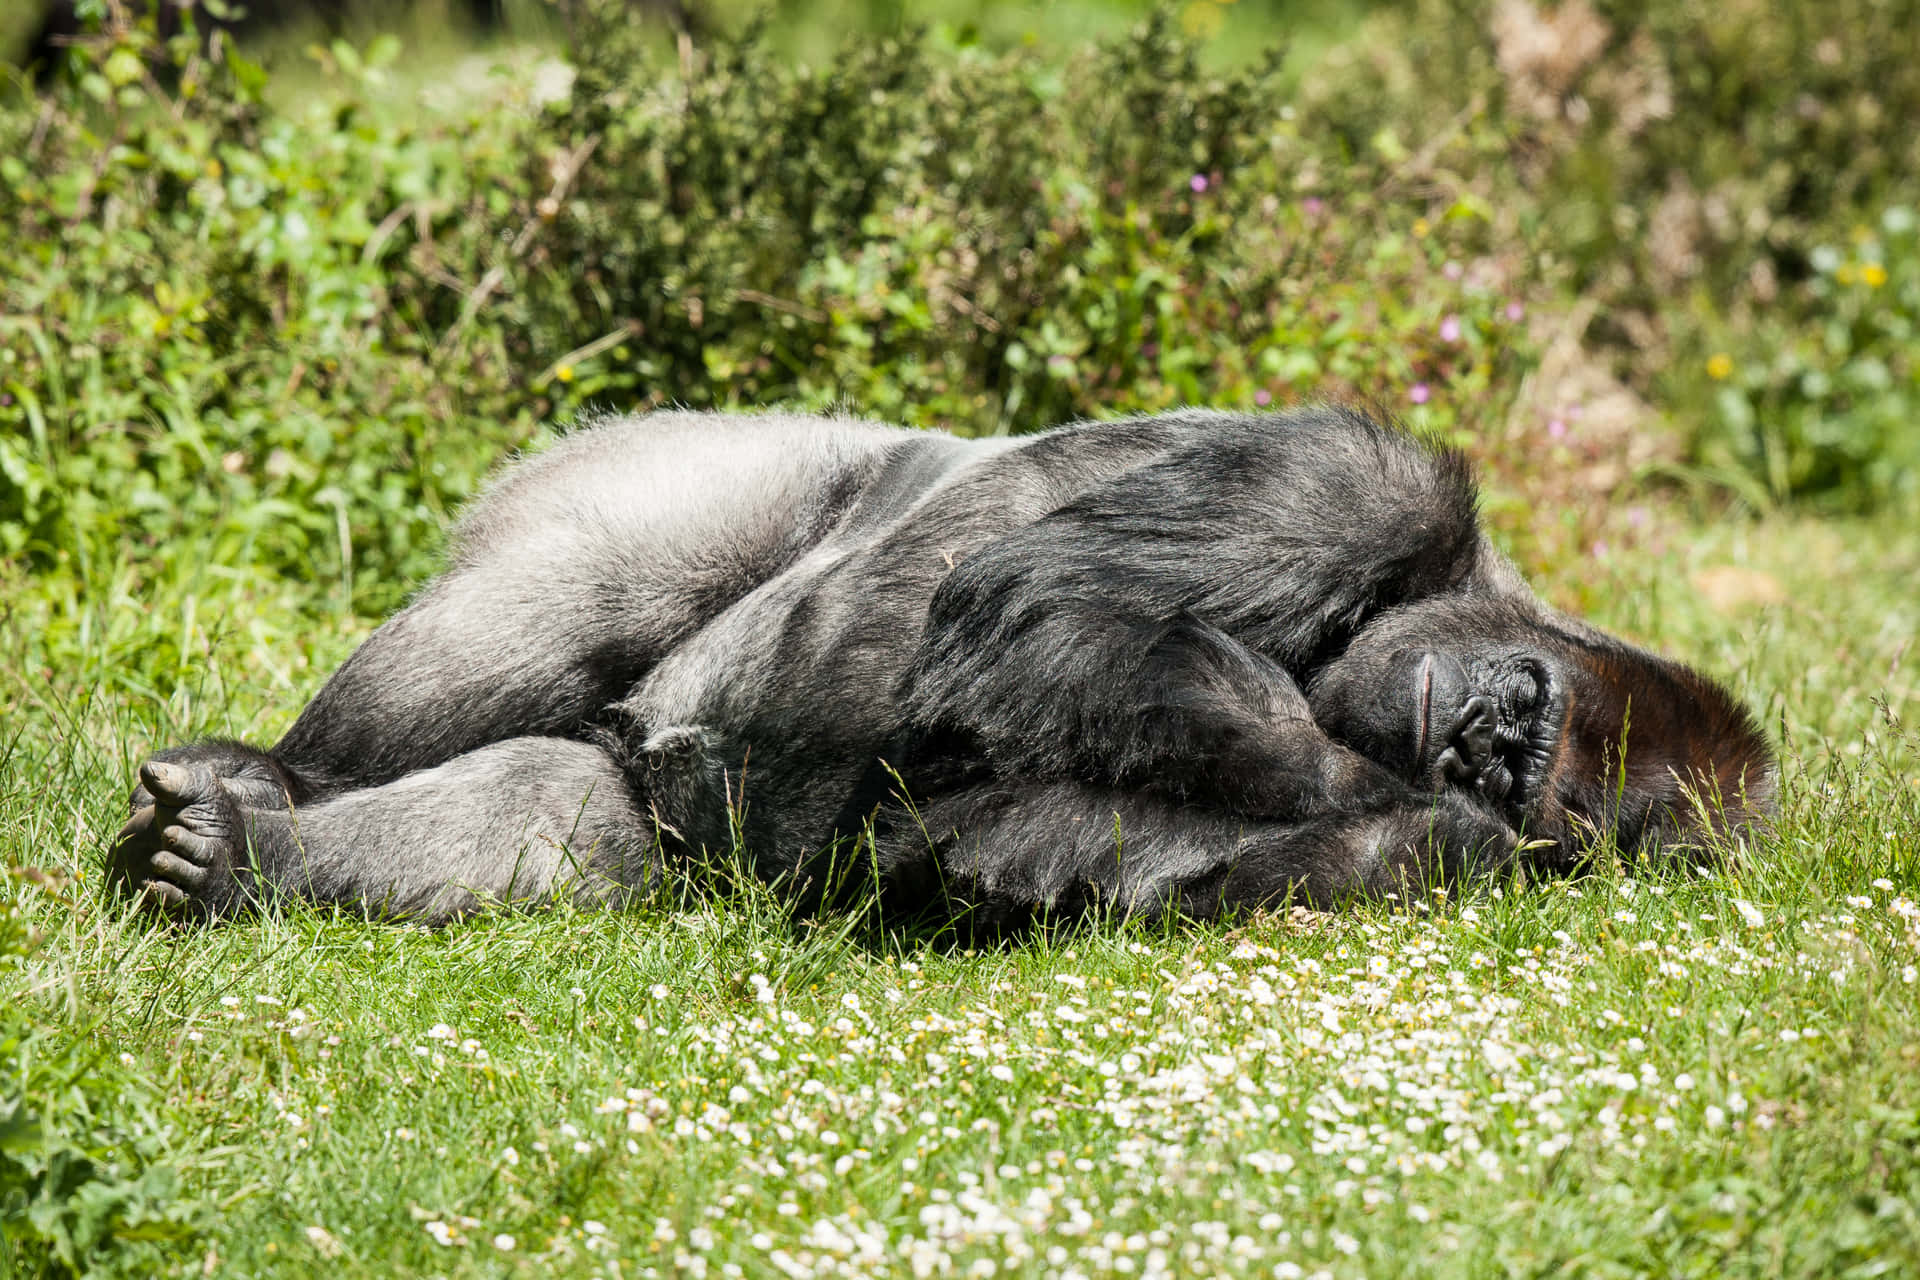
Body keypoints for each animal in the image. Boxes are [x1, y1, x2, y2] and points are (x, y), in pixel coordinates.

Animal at [112, 404, 1774, 924]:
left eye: (1536, 779)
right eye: (1530, 709)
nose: (1484, 746)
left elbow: (1008, 843)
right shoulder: (1364, 483)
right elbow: (1042, 598)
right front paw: (1354, 771)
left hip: (643, 798)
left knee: (557, 825)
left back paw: (249, 860)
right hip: (669, 460)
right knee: (576, 596)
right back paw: (277, 774)